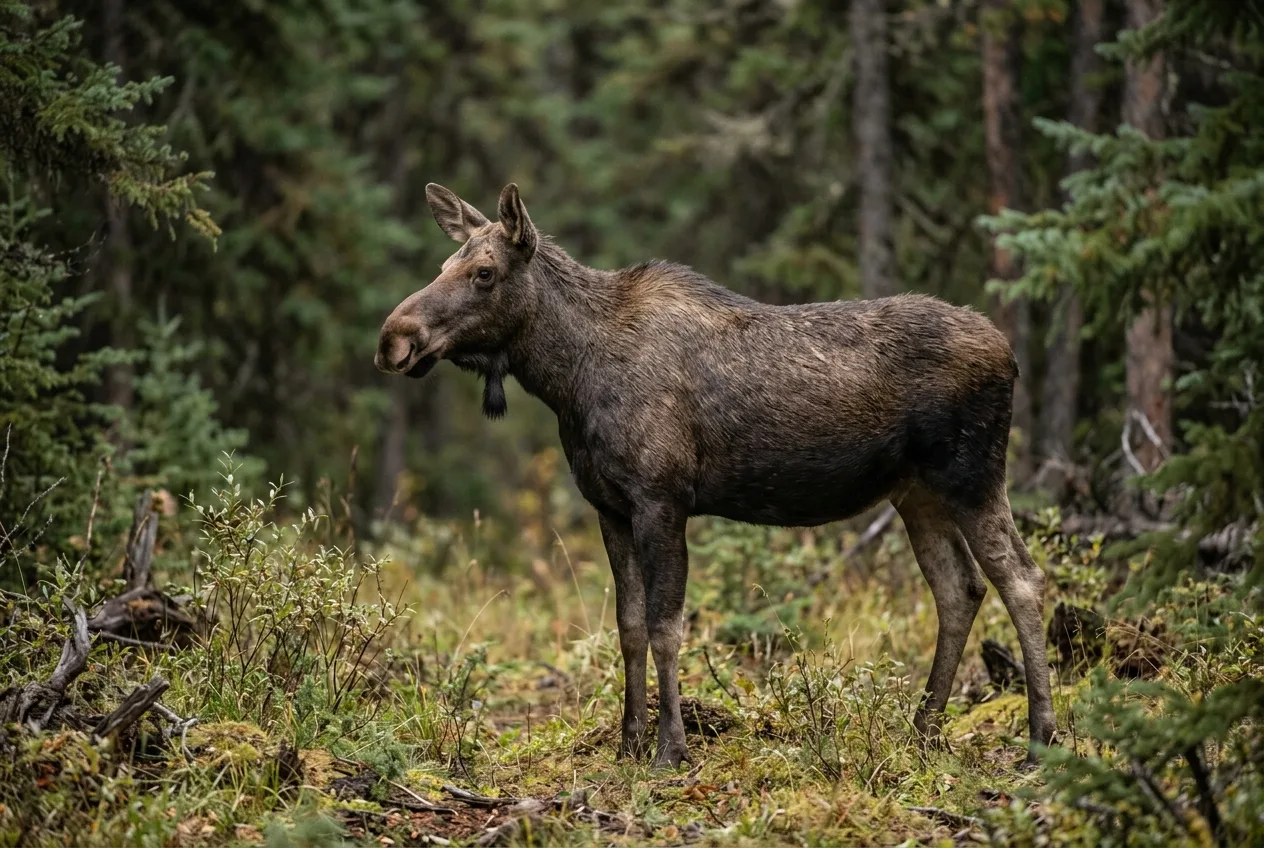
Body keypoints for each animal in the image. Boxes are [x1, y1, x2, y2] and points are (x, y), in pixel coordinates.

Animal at [375, 182, 1056, 769]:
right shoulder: (609, 506)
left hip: (972, 475)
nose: (393, 339)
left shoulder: (662, 498)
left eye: (484, 273)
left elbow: (665, 625)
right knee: (959, 589)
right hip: (916, 492)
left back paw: (1040, 739)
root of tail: (1011, 355)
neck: (567, 380)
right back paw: (923, 730)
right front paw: (627, 742)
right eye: (445, 263)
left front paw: (670, 749)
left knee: (1022, 579)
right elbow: (627, 626)